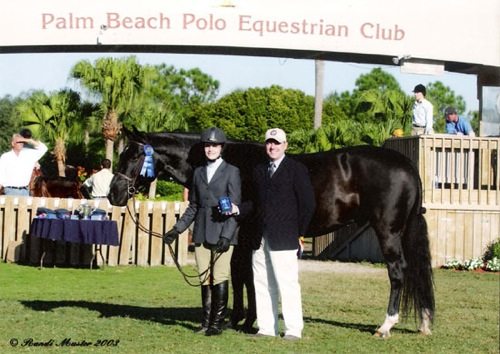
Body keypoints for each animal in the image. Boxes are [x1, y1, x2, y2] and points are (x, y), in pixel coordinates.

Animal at [108, 128, 434, 338]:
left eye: (134, 156)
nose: (114, 194)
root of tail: (406, 164)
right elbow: (240, 276)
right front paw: (240, 318)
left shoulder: (242, 234)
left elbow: (243, 275)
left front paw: (243, 320)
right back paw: (423, 323)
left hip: (388, 230)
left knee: (397, 271)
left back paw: (385, 326)